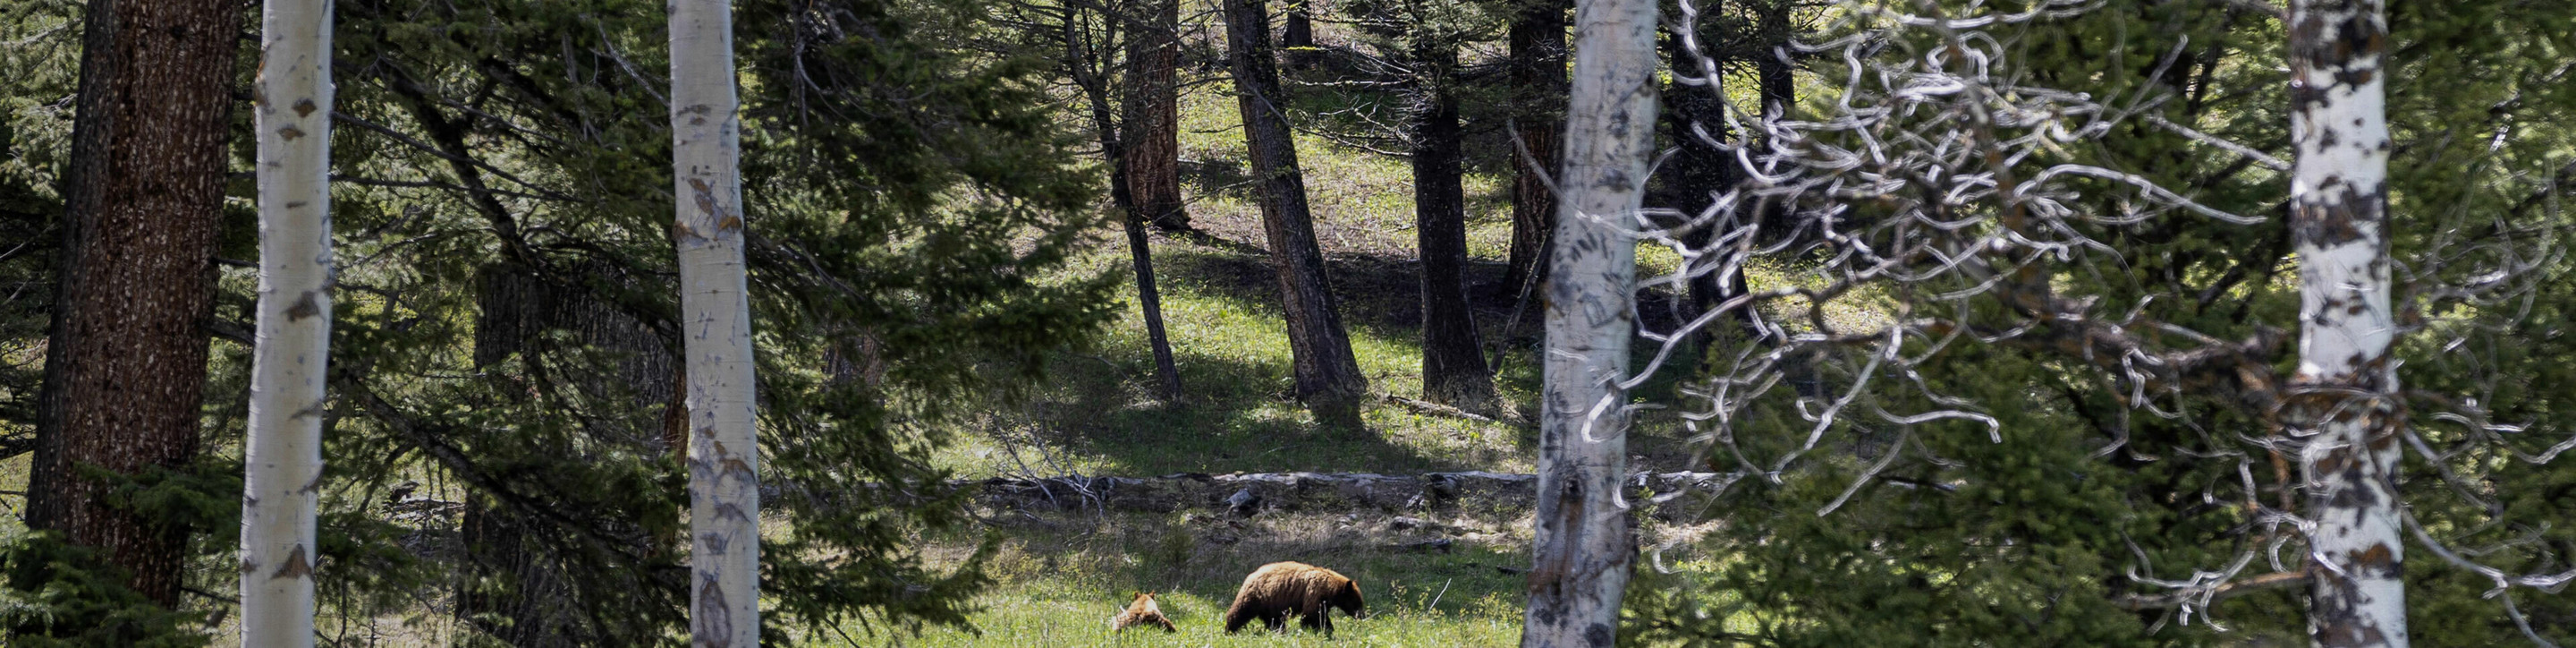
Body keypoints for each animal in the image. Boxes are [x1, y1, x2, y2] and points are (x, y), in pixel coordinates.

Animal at [1225, 562, 1370, 637]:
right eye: (1357, 603)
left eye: (1361, 603)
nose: (1362, 616)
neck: (1330, 588)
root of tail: (1251, 575)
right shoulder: (1314, 592)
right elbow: (1313, 614)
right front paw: (1323, 630)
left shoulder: (1325, 601)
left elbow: (1321, 614)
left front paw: (1327, 629)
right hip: (1257, 596)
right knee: (1241, 611)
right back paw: (1229, 630)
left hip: (1270, 603)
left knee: (1274, 620)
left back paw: (1279, 631)